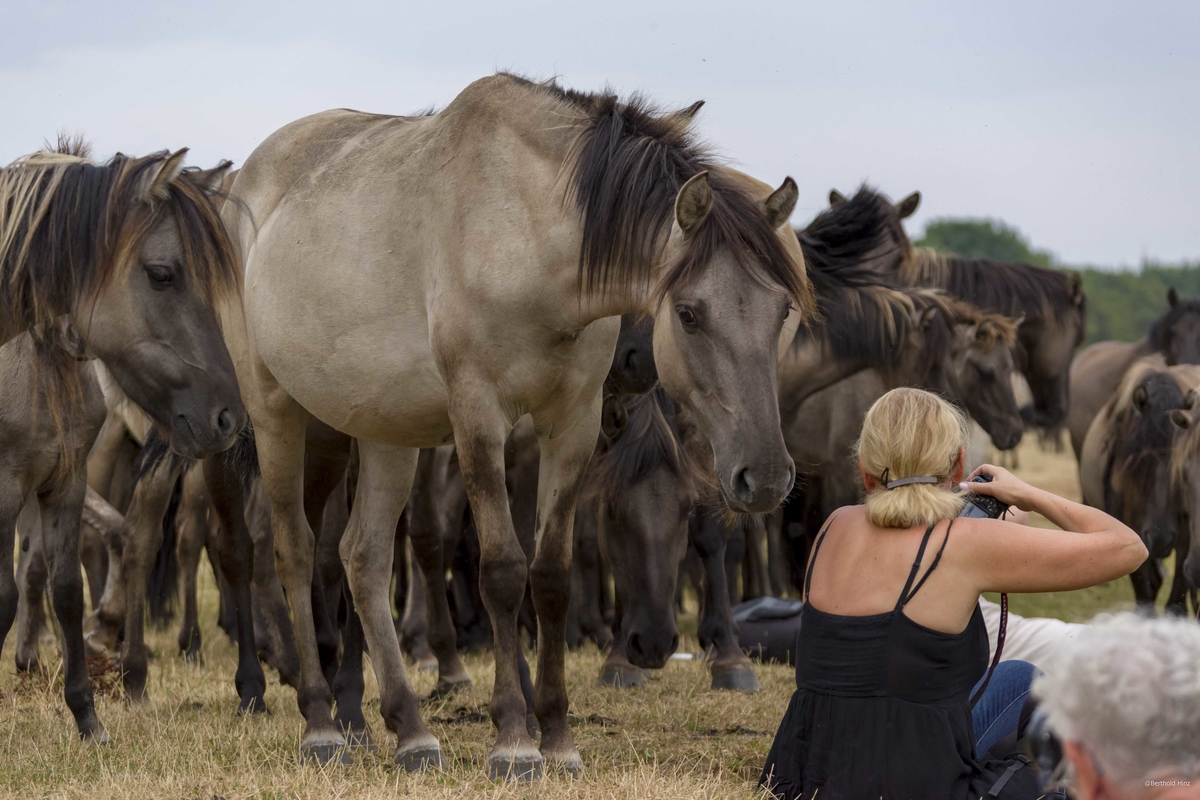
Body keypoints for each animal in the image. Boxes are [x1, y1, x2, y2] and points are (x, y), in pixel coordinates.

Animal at [1080, 357, 1200, 606]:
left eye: (1177, 470)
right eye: (1137, 462)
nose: (1160, 539)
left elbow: (1177, 599)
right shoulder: (1129, 529)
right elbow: (1146, 588)